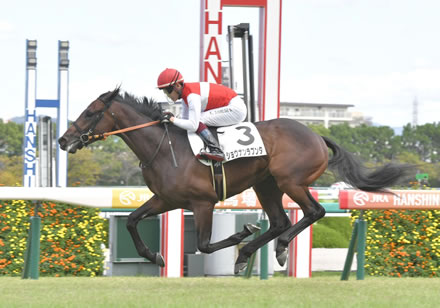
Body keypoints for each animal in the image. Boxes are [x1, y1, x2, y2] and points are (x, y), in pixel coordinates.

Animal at [58, 88, 412, 274]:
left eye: (90, 113)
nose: (63, 140)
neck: (165, 147)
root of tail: (315, 133)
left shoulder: (202, 202)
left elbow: (203, 244)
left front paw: (241, 233)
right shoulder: (166, 199)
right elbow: (132, 220)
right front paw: (154, 256)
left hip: (291, 181)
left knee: (313, 212)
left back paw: (276, 249)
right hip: (266, 184)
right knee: (280, 221)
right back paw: (251, 253)